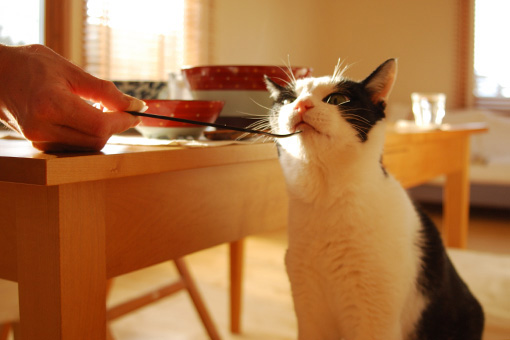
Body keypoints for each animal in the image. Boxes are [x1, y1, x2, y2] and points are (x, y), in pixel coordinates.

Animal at [264, 58, 484, 340]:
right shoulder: (308, 307)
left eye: (337, 99)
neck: (326, 200)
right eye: (289, 99)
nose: (301, 105)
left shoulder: (374, 317)